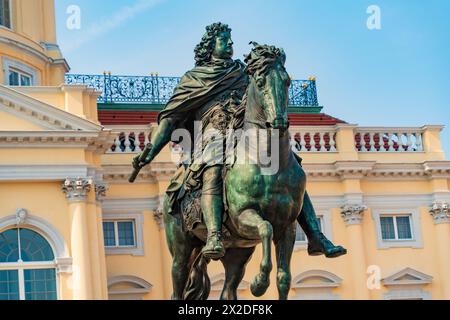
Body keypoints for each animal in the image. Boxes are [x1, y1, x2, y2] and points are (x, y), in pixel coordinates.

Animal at [162, 43, 306, 300]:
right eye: (260, 81)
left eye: (287, 81)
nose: (279, 121)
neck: (269, 164)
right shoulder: (243, 215)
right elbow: (265, 228)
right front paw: (259, 283)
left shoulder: (287, 226)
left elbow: (284, 278)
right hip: (182, 249)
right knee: (177, 283)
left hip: (237, 253)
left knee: (228, 289)